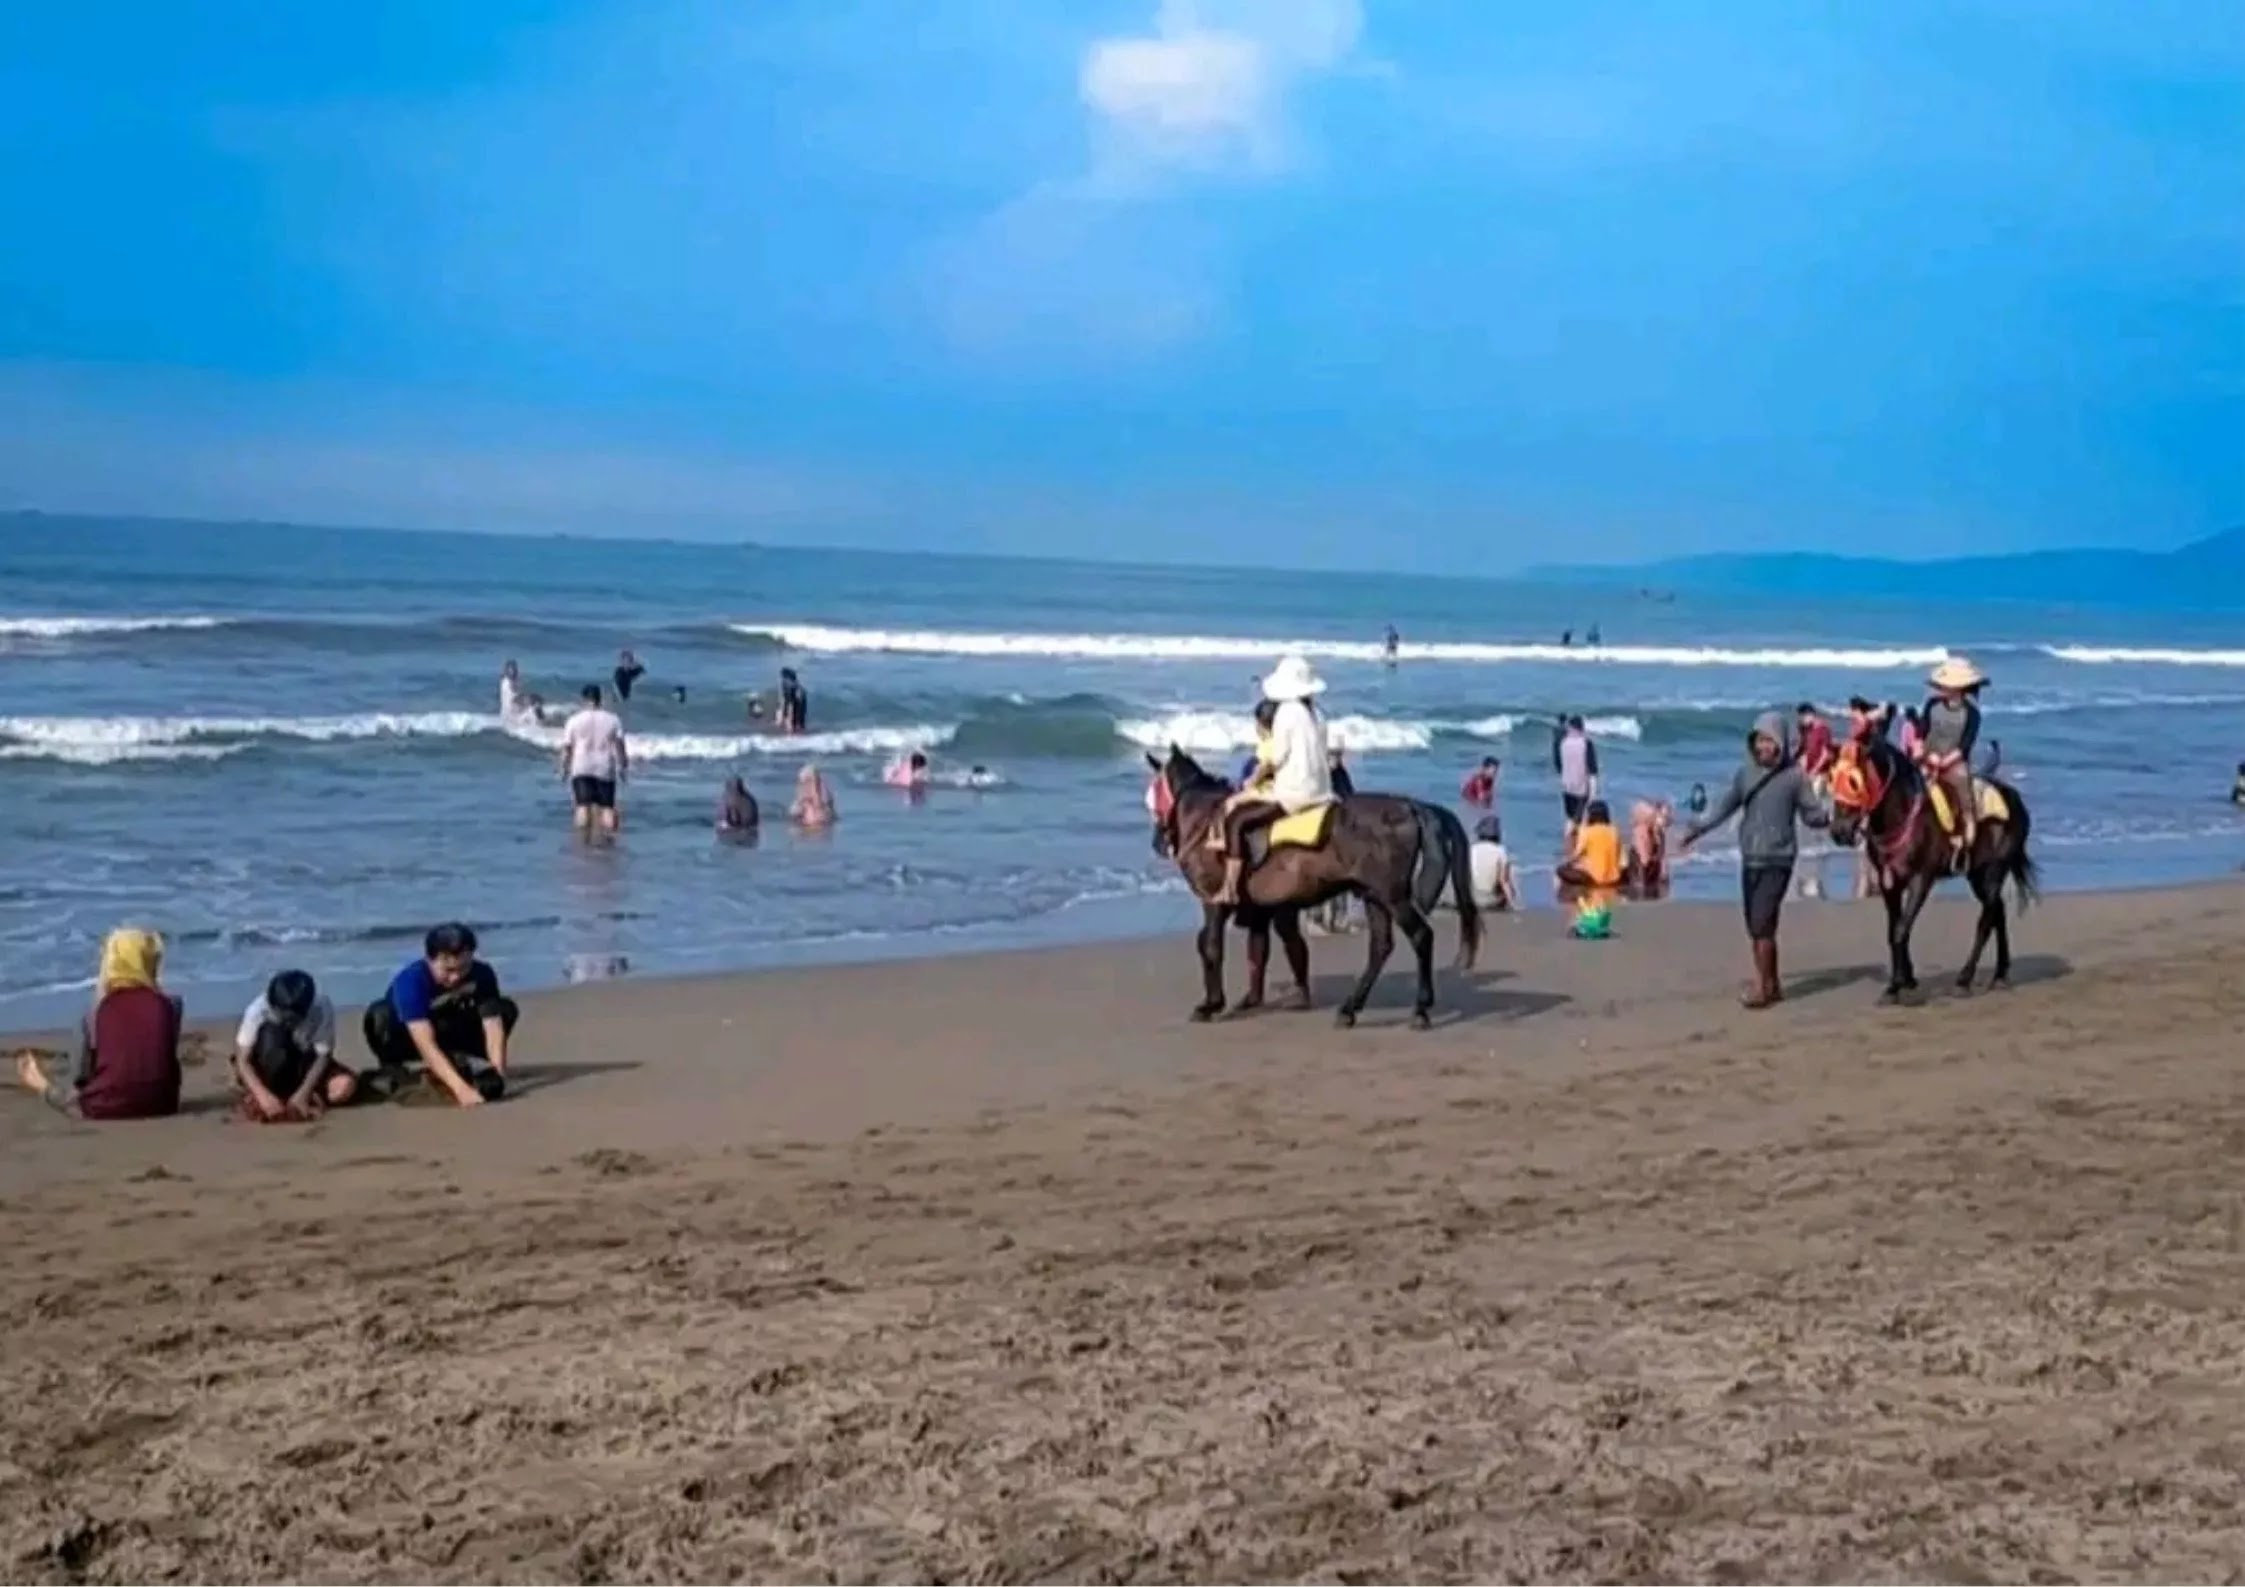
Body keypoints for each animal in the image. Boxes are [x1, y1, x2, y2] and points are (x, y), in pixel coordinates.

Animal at [1149, 749, 1481, 1032]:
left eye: (1153, 795)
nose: (1157, 843)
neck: (1206, 822)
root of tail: (1410, 805)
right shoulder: (1258, 908)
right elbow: (1257, 948)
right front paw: (1247, 1000)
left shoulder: (1213, 902)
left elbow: (1210, 946)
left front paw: (1210, 1005)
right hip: (1373, 895)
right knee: (1380, 947)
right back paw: (1350, 1009)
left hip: (1392, 895)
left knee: (1421, 936)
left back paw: (1420, 1009)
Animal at [1831, 736, 2047, 1005]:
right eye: (1831, 778)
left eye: (1853, 782)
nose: (1838, 832)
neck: (1903, 815)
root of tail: (2013, 797)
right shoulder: (1888, 882)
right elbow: (1894, 931)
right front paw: (1906, 981)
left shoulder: (1920, 880)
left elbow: (1901, 930)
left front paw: (1897, 986)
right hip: (1977, 874)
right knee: (1997, 912)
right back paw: (1999, 975)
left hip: (1995, 869)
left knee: (1986, 921)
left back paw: (1964, 980)